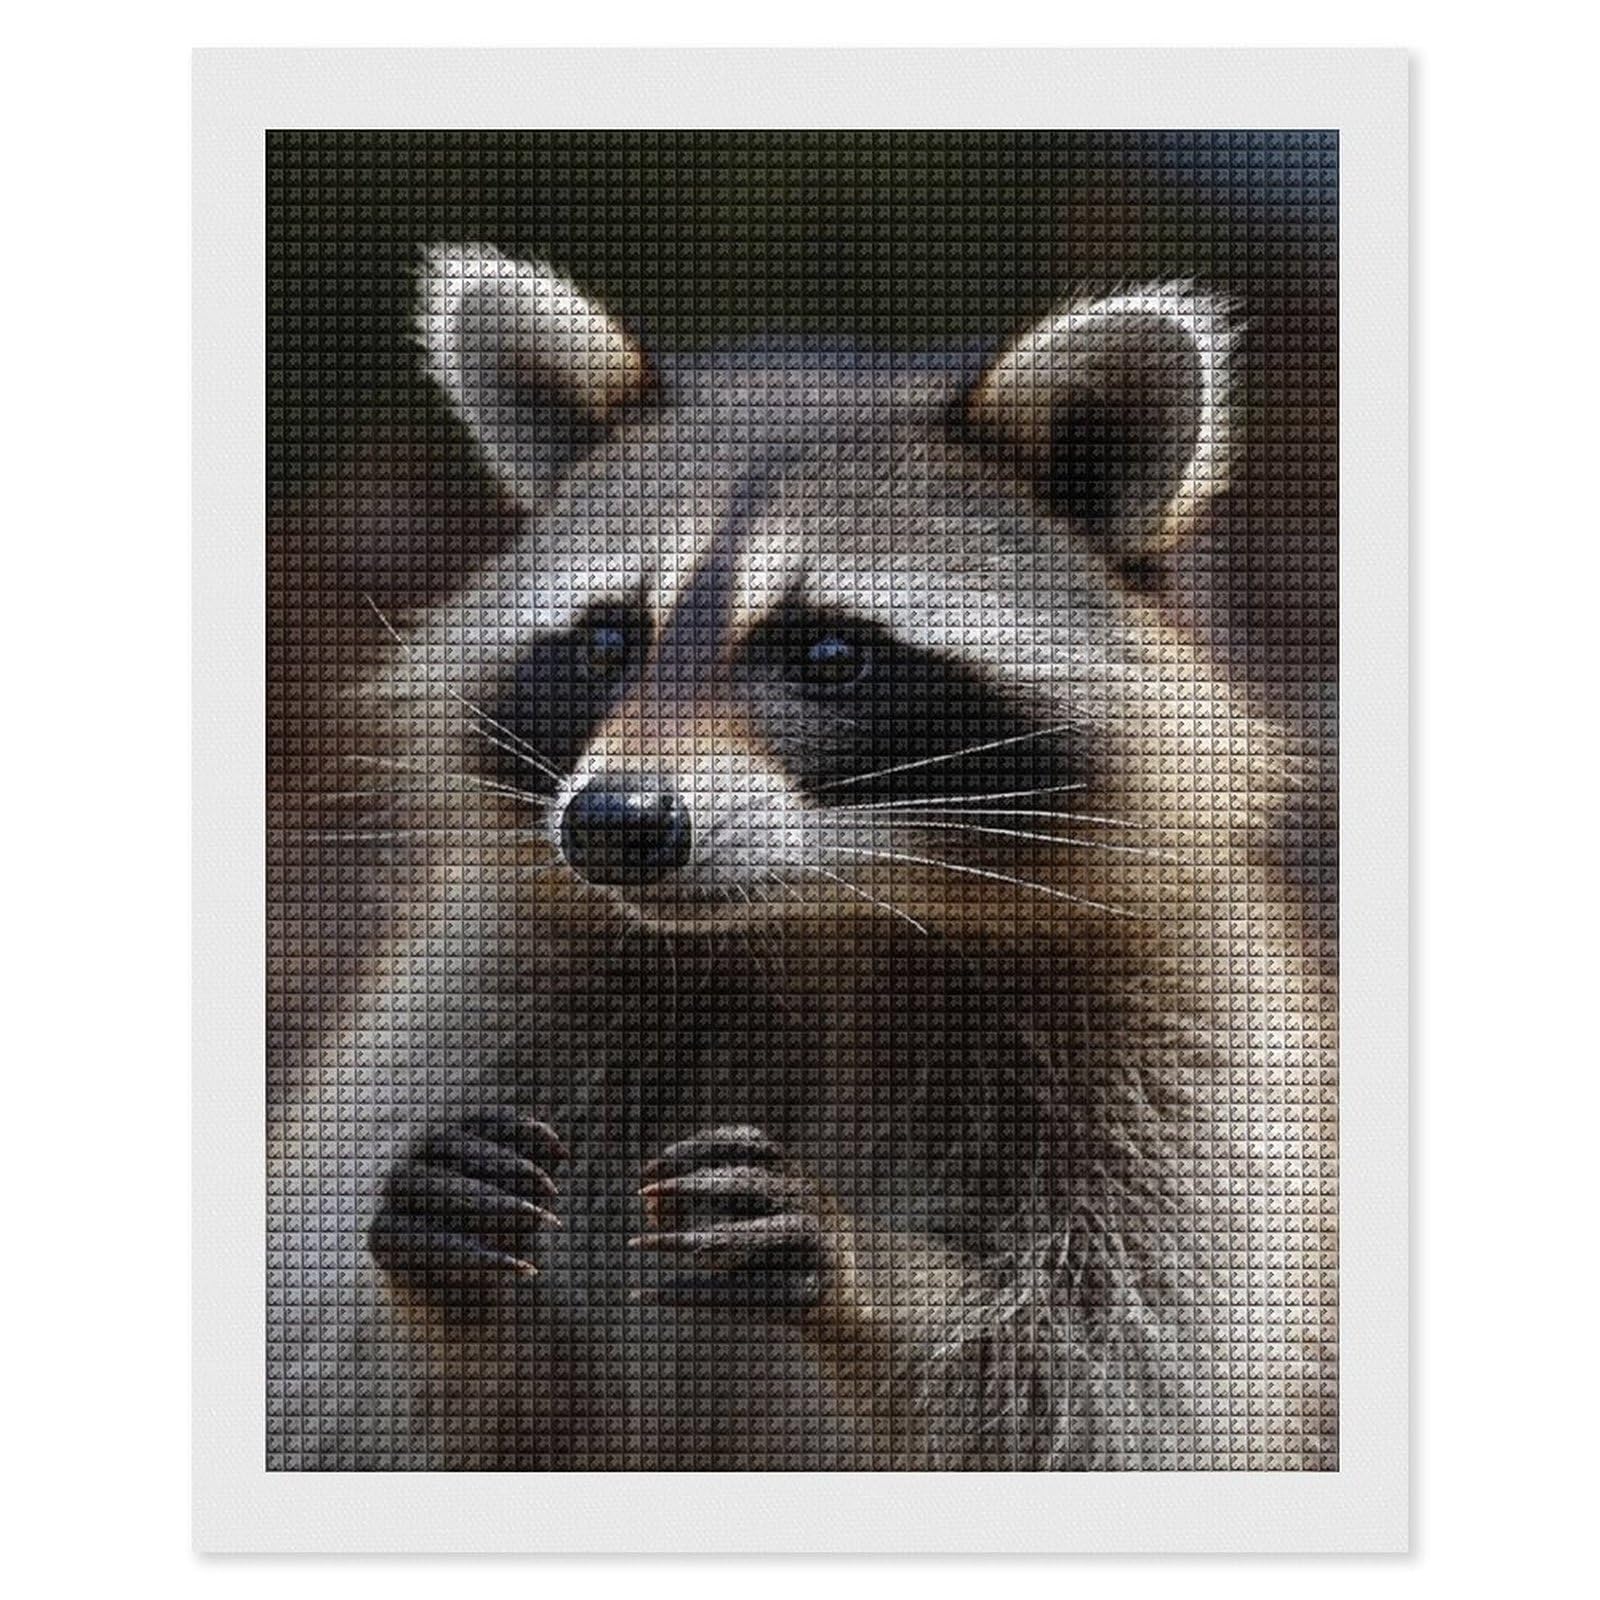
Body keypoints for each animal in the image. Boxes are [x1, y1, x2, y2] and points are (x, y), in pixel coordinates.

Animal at [267, 244, 1336, 1471]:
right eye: (606, 639)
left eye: (827, 652)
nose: (614, 821)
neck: (820, 924)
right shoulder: (487, 1009)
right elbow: (341, 1388)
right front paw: (439, 1306)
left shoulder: (1181, 1062)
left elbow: (1107, 1383)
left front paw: (879, 1280)